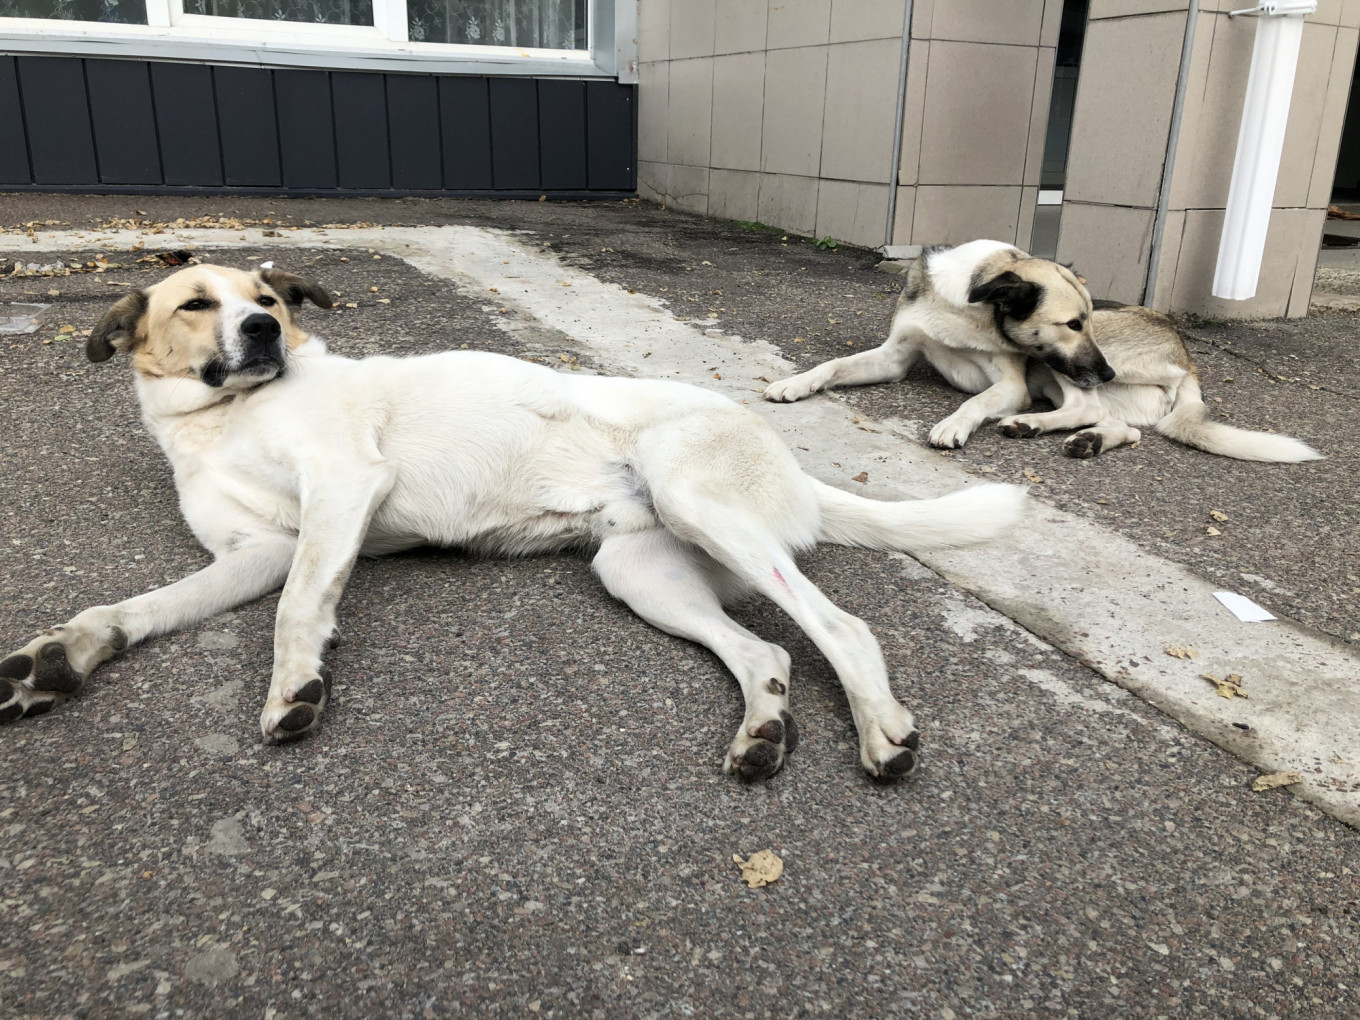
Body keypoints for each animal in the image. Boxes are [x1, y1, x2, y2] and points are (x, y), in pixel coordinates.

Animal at [0, 263, 1022, 783]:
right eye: (196, 304)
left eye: (270, 300)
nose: (262, 332)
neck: (220, 419)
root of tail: (790, 463)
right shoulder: (257, 552)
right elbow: (138, 609)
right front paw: (62, 654)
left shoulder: (341, 488)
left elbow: (298, 610)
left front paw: (296, 687)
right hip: (639, 572)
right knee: (766, 652)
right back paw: (765, 731)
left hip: (693, 498)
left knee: (841, 627)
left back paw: (881, 729)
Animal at [772, 239, 1321, 462]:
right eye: (1072, 323)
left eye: (1089, 321)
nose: (1107, 371)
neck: (968, 301)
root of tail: (1188, 358)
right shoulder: (894, 357)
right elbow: (834, 364)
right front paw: (795, 382)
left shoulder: (1012, 382)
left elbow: (977, 400)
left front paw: (953, 425)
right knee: (1117, 423)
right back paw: (1089, 441)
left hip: (1055, 366)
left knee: (1085, 404)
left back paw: (1030, 424)